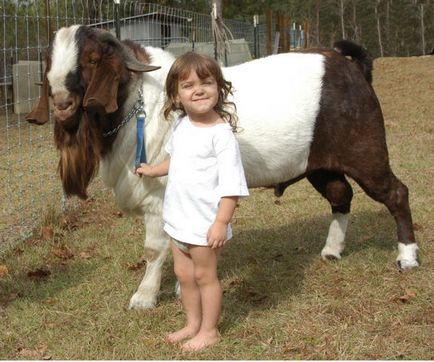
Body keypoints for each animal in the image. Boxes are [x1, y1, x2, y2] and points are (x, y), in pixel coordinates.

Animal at [25, 24, 418, 308]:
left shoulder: (159, 198)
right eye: (48, 63)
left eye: (92, 60)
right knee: (341, 194)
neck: (141, 102)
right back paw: (332, 251)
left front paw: (144, 298)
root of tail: (353, 67)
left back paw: (407, 258)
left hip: (365, 150)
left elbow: (155, 248)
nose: (62, 103)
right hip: (319, 164)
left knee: (395, 193)